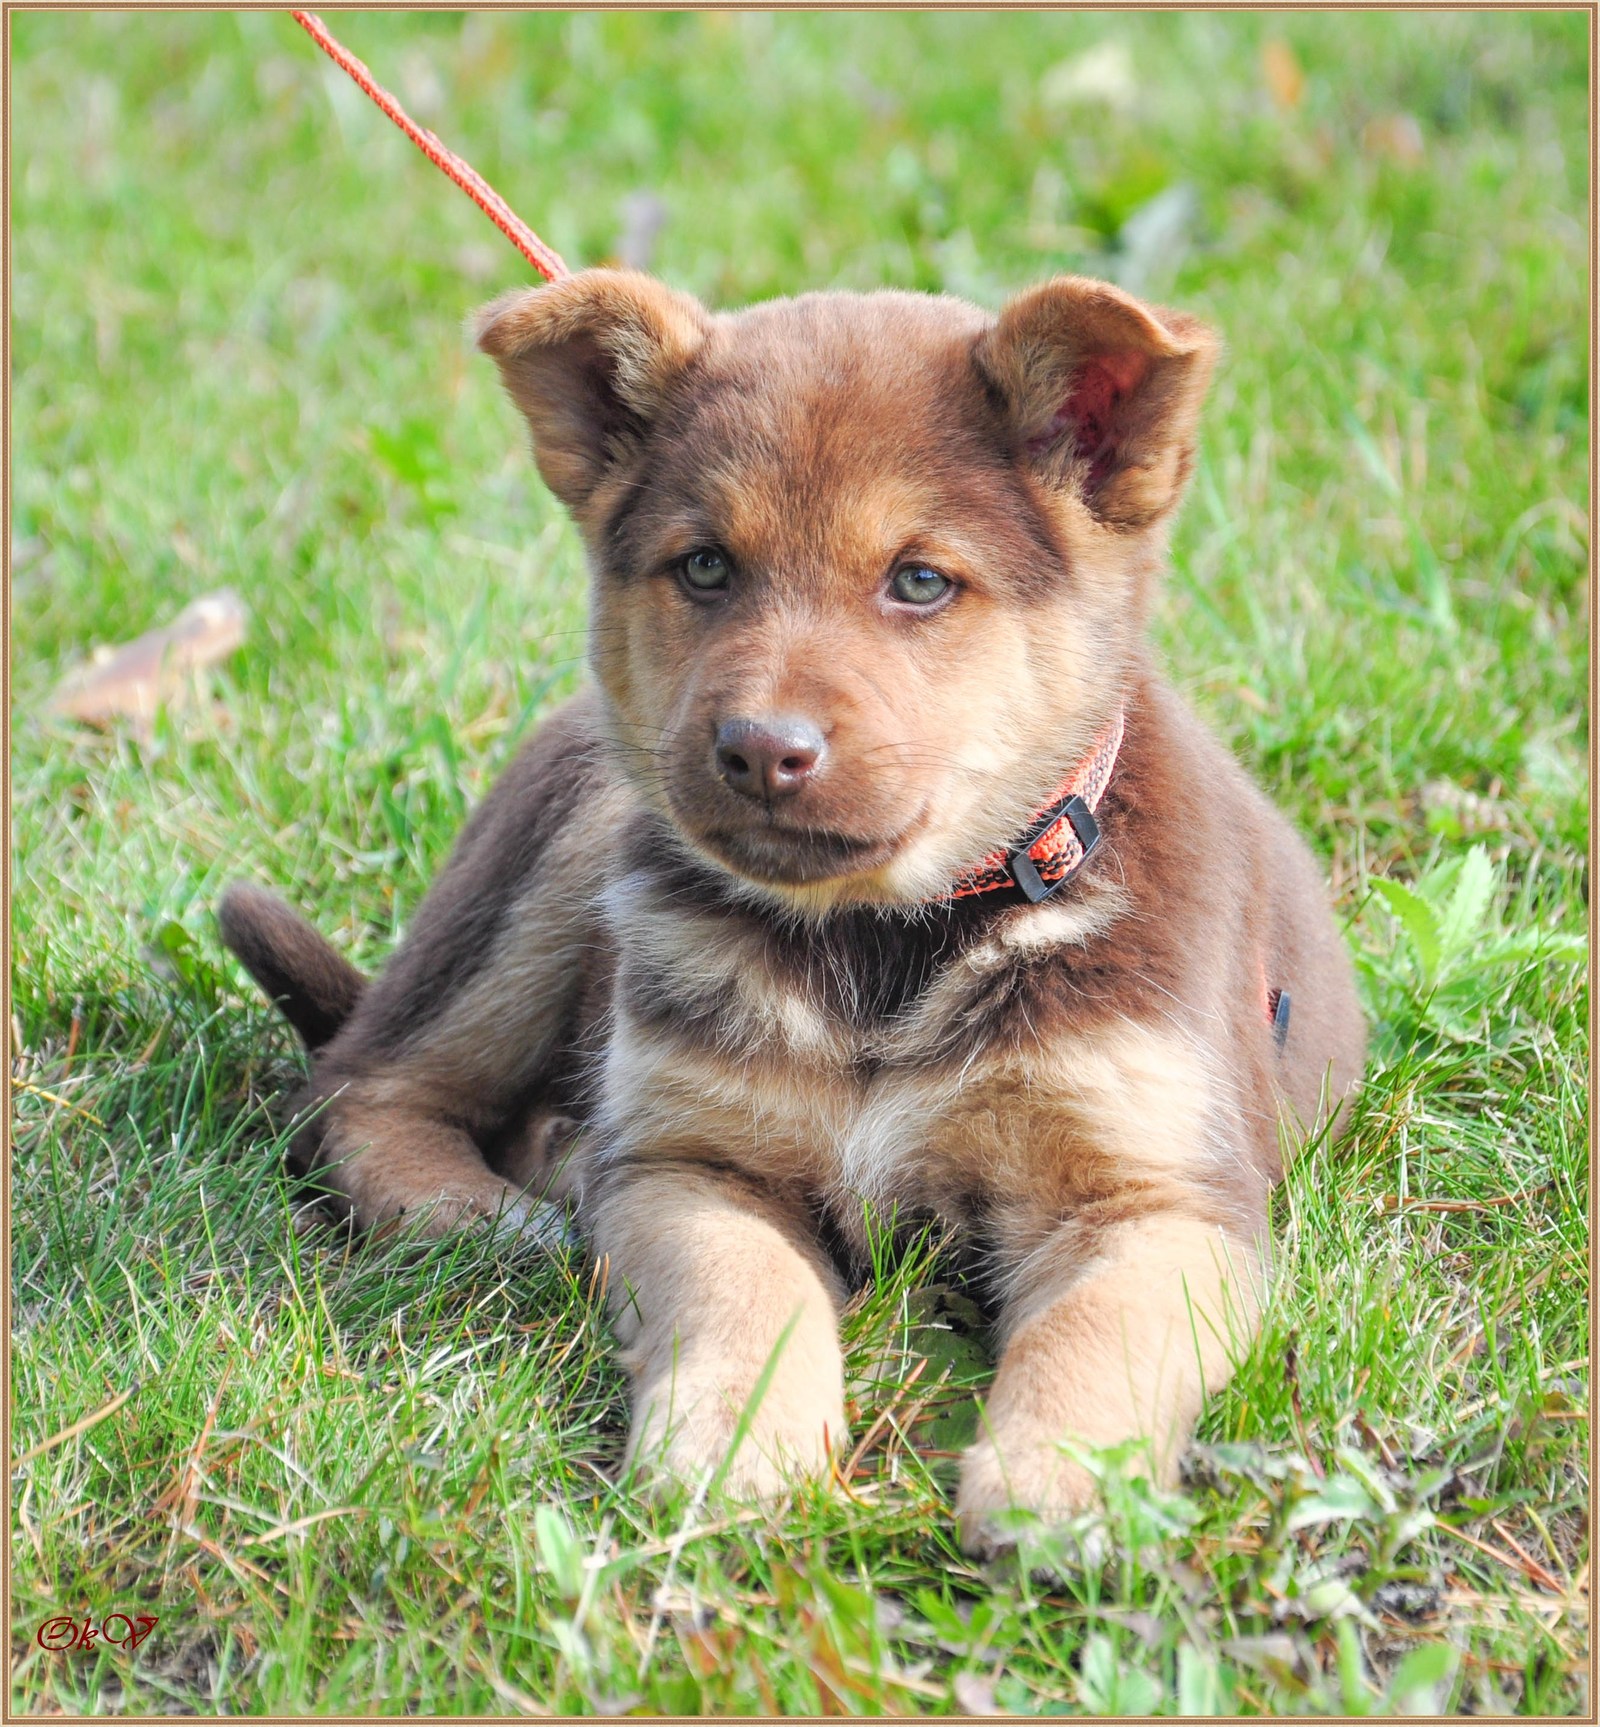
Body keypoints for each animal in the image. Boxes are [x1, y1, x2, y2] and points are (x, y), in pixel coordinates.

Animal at [222, 265, 1368, 1554]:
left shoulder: (1155, 1196)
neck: (886, 940)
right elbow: (745, 1289)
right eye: (705, 567)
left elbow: (1100, 1332)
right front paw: (736, 1444)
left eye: (918, 580)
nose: (761, 749)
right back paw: (485, 1207)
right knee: (360, 1085)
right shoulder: (689, 1161)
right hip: (564, 853)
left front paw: (1069, 1479)